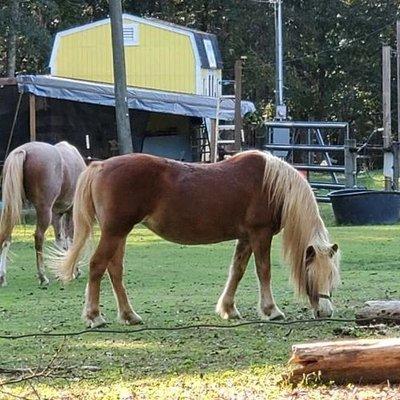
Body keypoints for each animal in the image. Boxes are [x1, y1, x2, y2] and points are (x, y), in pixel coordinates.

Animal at [0, 142, 86, 286]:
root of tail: (23, 151)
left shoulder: (57, 214)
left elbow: (60, 240)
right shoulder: (70, 212)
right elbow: (71, 240)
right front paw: (73, 271)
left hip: (13, 207)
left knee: (6, 237)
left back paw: (2, 277)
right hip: (43, 210)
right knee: (39, 237)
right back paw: (42, 277)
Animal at [53, 150, 340, 328]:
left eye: (333, 278)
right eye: (312, 274)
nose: (326, 312)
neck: (272, 184)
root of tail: (100, 165)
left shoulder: (246, 238)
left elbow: (237, 271)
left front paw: (228, 309)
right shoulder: (260, 234)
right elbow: (263, 271)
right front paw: (271, 310)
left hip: (119, 234)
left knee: (115, 270)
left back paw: (129, 315)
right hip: (115, 232)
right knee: (97, 266)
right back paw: (94, 316)